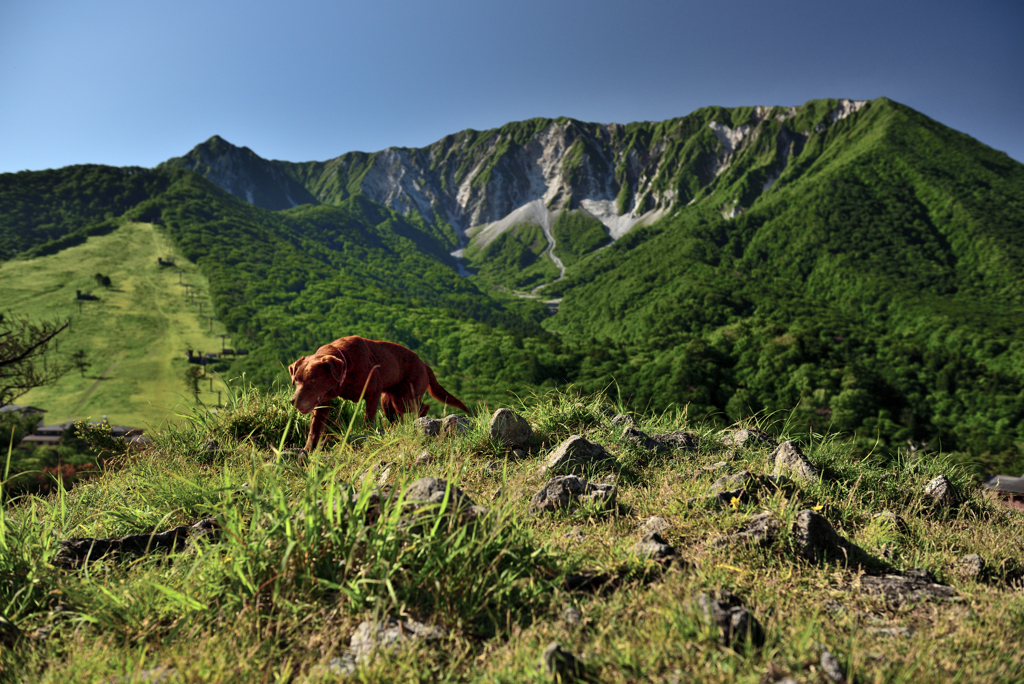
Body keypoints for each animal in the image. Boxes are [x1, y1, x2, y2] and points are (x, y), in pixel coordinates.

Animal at [290, 335, 468, 450]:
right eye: (296, 379)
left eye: (313, 380)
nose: (293, 401)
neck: (346, 365)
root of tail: (424, 364)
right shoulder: (323, 402)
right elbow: (314, 428)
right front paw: (308, 449)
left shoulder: (372, 393)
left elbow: (368, 418)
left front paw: (367, 433)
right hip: (388, 400)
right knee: (398, 416)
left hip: (405, 397)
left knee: (422, 407)